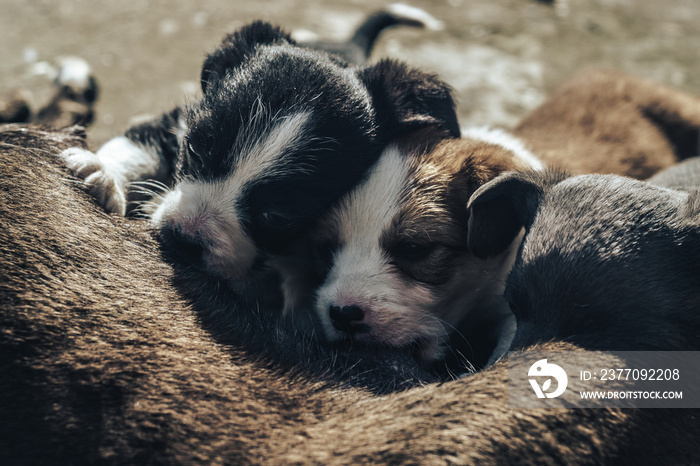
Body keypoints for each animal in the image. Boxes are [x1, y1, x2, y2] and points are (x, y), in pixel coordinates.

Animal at [61, 20, 460, 294]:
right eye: (194, 152)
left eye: (277, 217)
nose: (183, 238)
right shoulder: (171, 123)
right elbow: (134, 146)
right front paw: (100, 172)